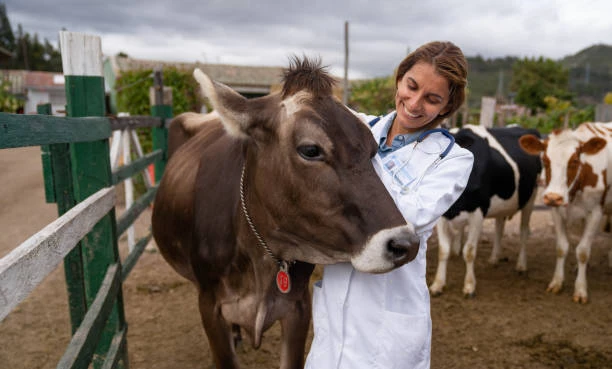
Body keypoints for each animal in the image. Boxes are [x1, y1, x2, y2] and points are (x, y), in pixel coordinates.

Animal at [152, 58, 420, 368]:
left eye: (373, 150)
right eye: (310, 149)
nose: (405, 244)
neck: (258, 256)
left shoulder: (297, 307)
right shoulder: (210, 306)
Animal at [428, 125, 544, 298]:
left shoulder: (478, 211)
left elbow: (469, 251)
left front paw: (469, 286)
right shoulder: (442, 215)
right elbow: (443, 250)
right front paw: (438, 284)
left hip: (531, 196)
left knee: (524, 231)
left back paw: (521, 266)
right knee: (499, 228)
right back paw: (494, 258)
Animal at [520, 121, 612, 302]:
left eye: (575, 160)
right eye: (545, 160)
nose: (553, 197)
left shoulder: (596, 212)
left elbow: (583, 251)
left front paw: (580, 289)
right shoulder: (556, 211)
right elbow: (562, 247)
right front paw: (557, 282)